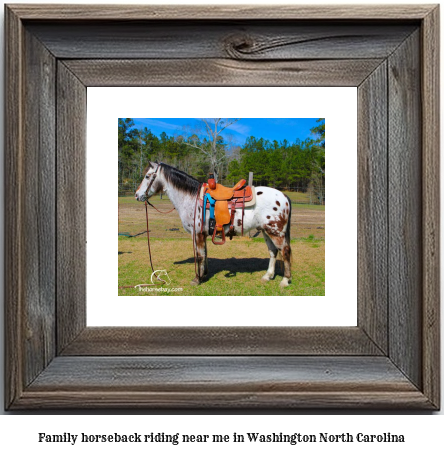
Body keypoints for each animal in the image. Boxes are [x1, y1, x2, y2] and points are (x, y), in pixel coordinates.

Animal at [134, 162, 292, 286]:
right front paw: (204, 274)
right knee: (273, 252)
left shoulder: (197, 233)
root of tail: (283, 196)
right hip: (266, 231)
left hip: (276, 232)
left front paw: (197, 279)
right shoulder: (203, 234)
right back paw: (268, 276)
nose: (137, 195)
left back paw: (285, 280)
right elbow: (204, 254)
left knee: (285, 251)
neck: (192, 198)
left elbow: (199, 255)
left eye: (147, 176)